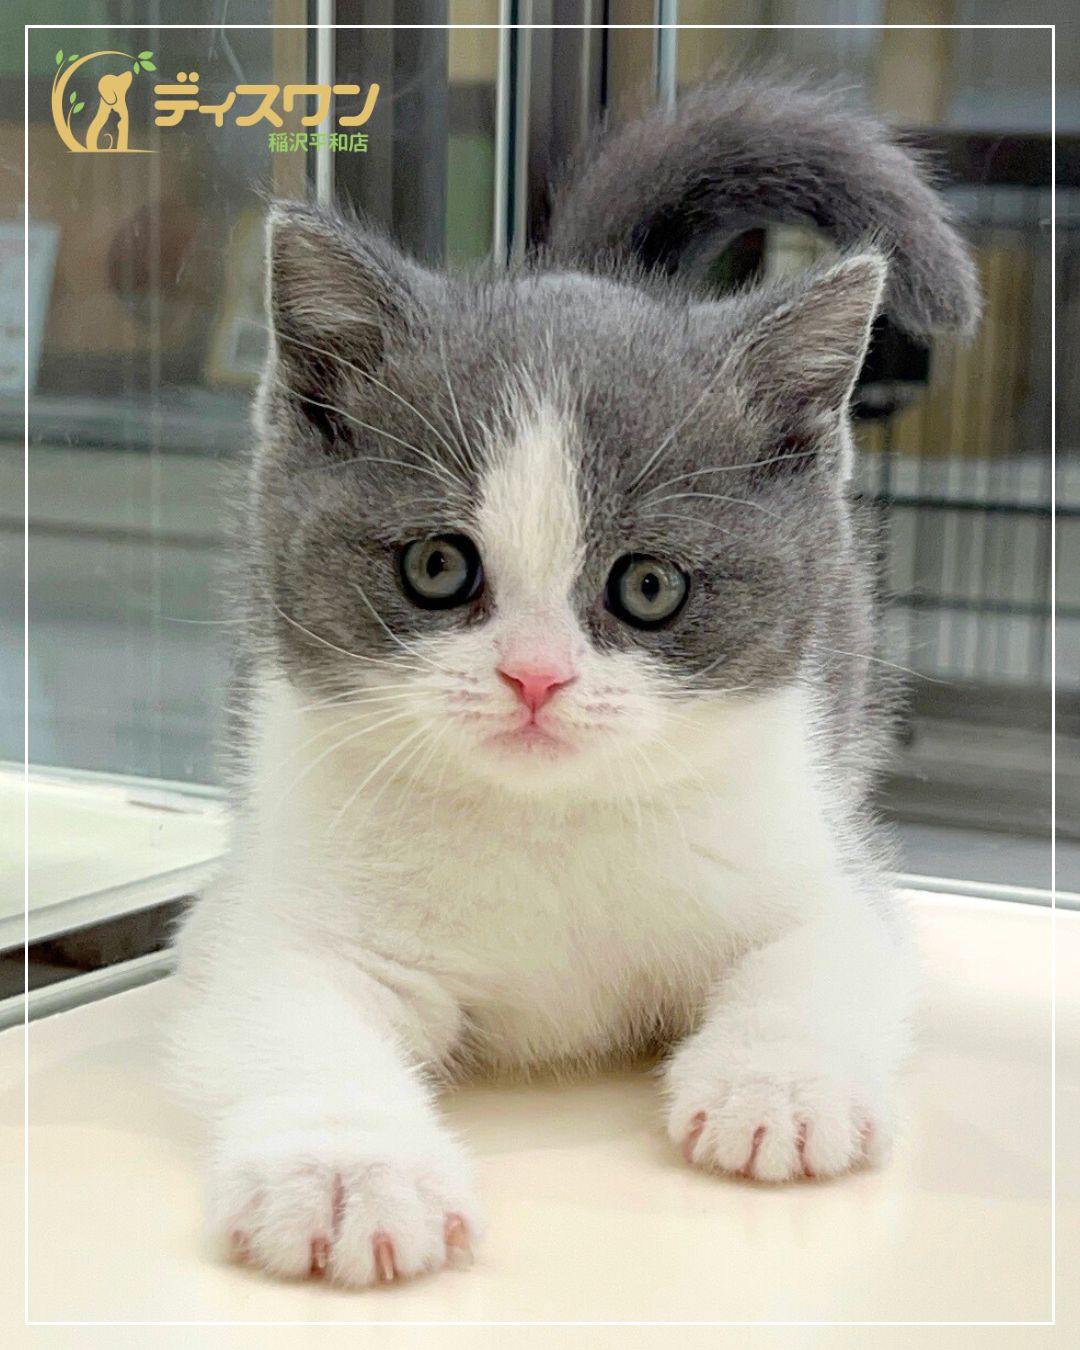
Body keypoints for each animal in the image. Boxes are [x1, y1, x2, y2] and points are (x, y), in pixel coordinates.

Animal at [168, 75, 979, 1287]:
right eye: (438, 567)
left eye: (648, 586)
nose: (535, 678)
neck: (545, 825)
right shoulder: (268, 909)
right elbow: (282, 1013)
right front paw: (352, 1172)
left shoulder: (816, 861)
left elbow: (823, 955)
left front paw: (778, 1085)